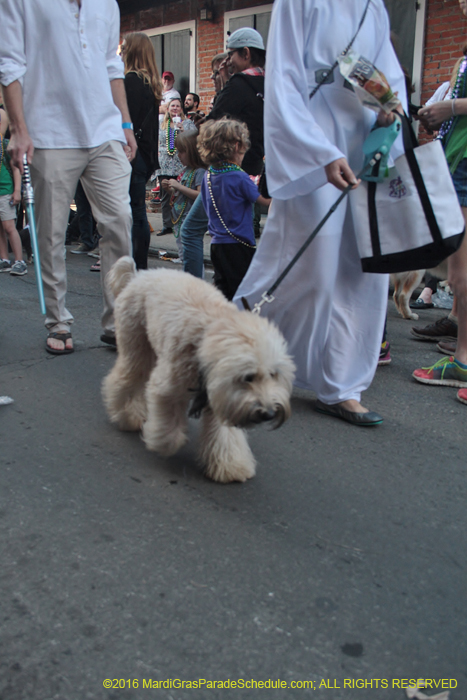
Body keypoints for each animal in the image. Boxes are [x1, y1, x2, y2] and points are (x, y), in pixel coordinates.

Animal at [102, 258, 296, 482]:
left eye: (273, 374)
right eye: (248, 377)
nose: (269, 413)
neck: (207, 332)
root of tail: (138, 275)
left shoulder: (222, 397)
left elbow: (224, 434)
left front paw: (230, 464)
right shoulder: (169, 388)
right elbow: (168, 424)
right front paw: (166, 442)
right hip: (136, 350)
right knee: (125, 379)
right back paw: (127, 416)